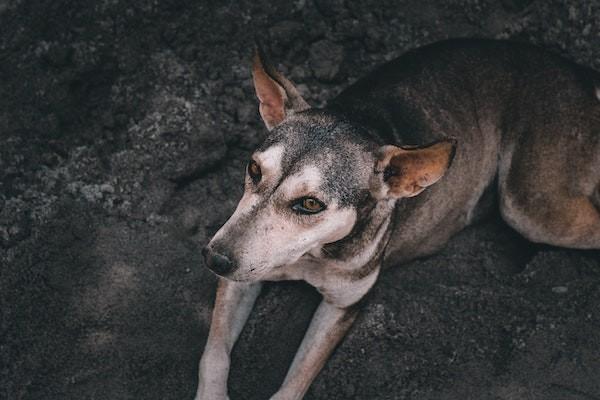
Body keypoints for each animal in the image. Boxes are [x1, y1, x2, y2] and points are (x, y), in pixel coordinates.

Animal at [196, 38, 600, 400]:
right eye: (254, 169)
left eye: (310, 204)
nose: (215, 258)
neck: (313, 254)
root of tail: (579, 74)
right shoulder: (240, 278)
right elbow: (214, 354)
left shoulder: (342, 306)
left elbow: (295, 382)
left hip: (530, 208)